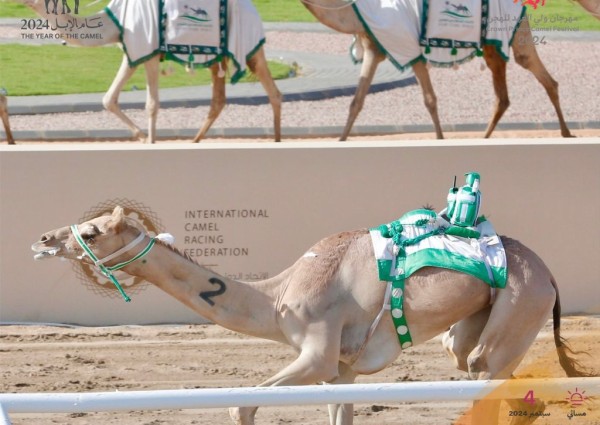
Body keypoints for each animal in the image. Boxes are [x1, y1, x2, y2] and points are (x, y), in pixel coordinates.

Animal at [18, 0, 282, 142]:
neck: (115, 23)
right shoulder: (132, 53)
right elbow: (108, 99)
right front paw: (143, 137)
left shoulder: (151, 52)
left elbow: (152, 104)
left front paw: (151, 141)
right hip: (217, 57)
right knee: (218, 100)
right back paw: (194, 141)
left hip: (250, 47)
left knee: (273, 92)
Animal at [30, 204, 592, 422]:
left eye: (94, 230)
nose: (43, 239)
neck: (278, 297)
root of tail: (550, 276)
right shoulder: (340, 371)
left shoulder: (317, 353)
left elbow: (241, 406)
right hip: (475, 326)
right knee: (482, 370)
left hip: (519, 304)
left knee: (487, 371)